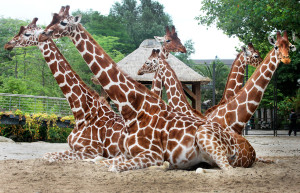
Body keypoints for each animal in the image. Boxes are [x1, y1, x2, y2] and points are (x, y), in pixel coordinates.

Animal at [4, 17, 126, 161]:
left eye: (27, 34)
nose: (7, 44)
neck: (83, 113)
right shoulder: (73, 147)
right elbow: (47, 155)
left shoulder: (91, 150)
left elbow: (48, 156)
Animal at [38, 5, 268, 172]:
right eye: (51, 19)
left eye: (63, 22)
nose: (44, 33)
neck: (134, 108)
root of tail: (250, 150)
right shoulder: (120, 153)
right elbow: (91, 161)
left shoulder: (148, 153)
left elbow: (110, 166)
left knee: (228, 170)